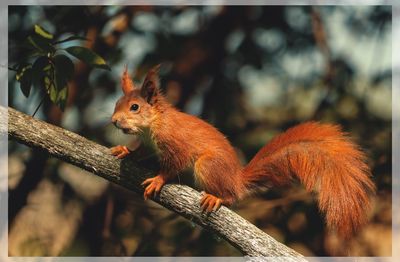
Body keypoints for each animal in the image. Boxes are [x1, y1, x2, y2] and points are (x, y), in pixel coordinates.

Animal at [111, 65, 376, 237]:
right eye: (116, 103)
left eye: (134, 107)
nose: (113, 121)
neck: (154, 123)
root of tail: (237, 179)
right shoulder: (148, 143)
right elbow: (139, 152)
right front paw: (124, 150)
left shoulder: (175, 144)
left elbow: (172, 165)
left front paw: (158, 179)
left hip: (208, 165)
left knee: (231, 196)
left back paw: (217, 197)